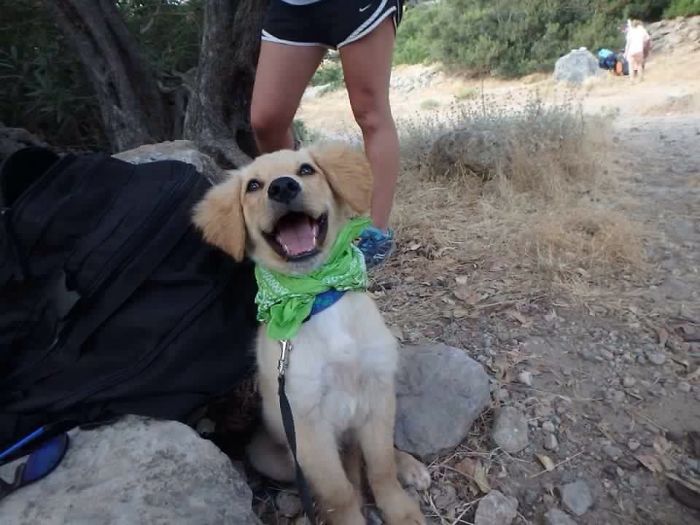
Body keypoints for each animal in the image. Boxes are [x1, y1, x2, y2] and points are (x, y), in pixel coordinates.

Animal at [194, 144, 430, 524]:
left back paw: (408, 465)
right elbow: (340, 492)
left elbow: (380, 466)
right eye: (253, 186)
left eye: (306, 170)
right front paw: (351, 516)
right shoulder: (307, 427)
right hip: (272, 455)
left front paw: (401, 510)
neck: (315, 295)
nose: (282, 187)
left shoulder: (378, 391)